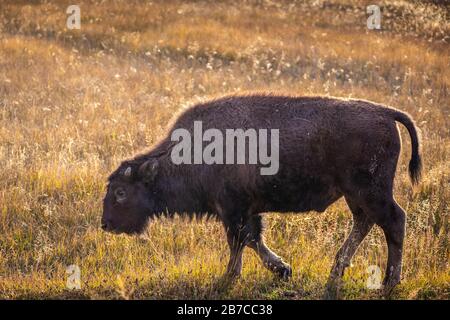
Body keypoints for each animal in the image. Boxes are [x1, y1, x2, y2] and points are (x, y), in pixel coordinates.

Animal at [102, 94, 422, 296]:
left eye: (120, 192)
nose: (106, 224)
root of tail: (386, 113)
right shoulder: (246, 210)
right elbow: (253, 239)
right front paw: (283, 270)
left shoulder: (233, 210)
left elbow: (239, 242)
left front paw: (227, 279)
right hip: (354, 195)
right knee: (365, 223)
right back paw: (336, 275)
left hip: (369, 191)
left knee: (394, 221)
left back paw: (388, 284)